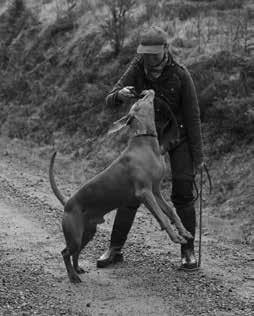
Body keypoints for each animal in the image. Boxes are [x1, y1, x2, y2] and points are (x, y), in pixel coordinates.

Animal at [49, 89, 192, 284]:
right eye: (139, 100)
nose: (145, 90)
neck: (145, 143)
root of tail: (68, 202)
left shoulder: (156, 191)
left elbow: (171, 212)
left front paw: (184, 232)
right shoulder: (145, 193)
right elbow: (162, 217)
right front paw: (175, 237)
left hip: (87, 232)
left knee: (75, 252)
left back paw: (77, 269)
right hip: (75, 235)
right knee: (65, 252)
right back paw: (73, 276)